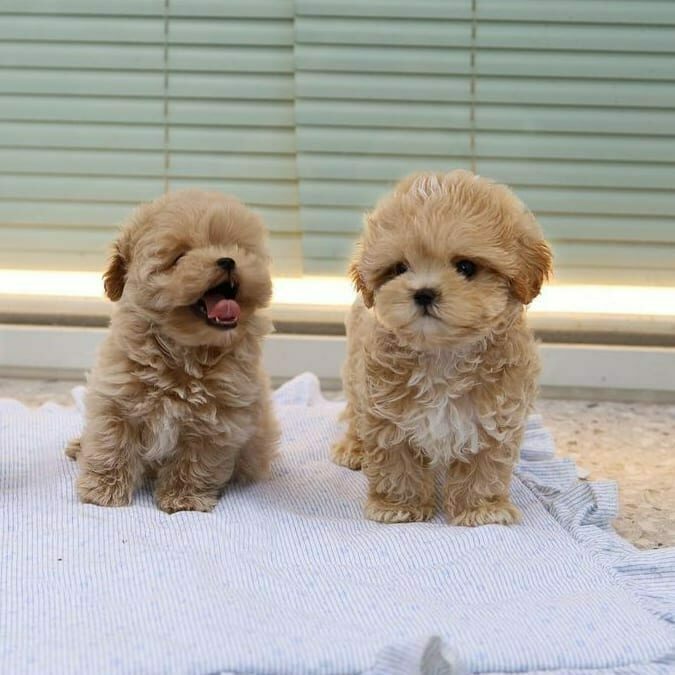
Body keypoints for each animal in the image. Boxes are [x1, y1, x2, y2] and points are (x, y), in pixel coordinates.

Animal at [66, 190, 280, 512]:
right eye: (179, 257)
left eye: (238, 248)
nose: (228, 260)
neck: (184, 354)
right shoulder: (117, 397)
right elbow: (111, 443)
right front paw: (103, 490)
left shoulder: (218, 420)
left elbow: (196, 460)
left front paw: (184, 498)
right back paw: (79, 447)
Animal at [334, 170, 556, 528]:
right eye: (399, 268)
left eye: (466, 267)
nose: (423, 293)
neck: (442, 355)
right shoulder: (386, 415)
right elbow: (397, 464)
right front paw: (400, 506)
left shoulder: (494, 417)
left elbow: (484, 466)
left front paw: (480, 510)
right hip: (356, 377)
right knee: (355, 412)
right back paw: (354, 448)